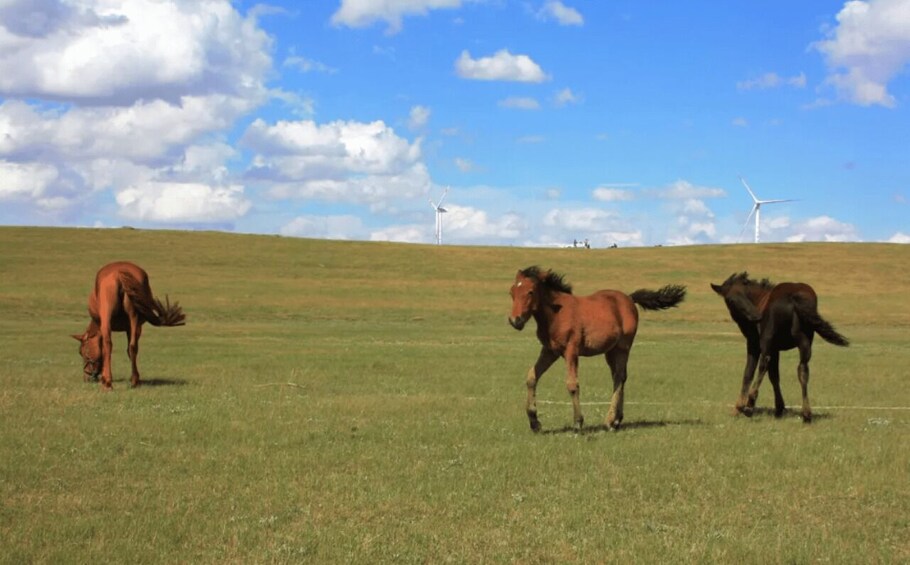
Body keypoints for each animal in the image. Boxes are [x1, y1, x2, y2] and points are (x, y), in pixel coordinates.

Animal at [72, 261, 185, 390]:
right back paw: (134, 381)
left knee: (108, 344)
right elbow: (130, 349)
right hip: (133, 317)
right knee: (132, 346)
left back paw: (107, 383)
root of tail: (119, 273)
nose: (87, 377)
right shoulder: (132, 328)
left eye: (82, 352)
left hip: (107, 317)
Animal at [509, 266, 686, 432]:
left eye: (530, 292)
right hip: (610, 351)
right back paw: (617, 420)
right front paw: (534, 422)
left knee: (619, 376)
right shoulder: (550, 351)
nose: (515, 321)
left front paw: (578, 422)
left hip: (623, 347)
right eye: (511, 292)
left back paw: (609, 421)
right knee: (619, 377)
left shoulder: (571, 350)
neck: (556, 314)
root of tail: (629, 298)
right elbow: (532, 377)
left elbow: (572, 384)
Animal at [710, 272, 849, 422]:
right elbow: (774, 375)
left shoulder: (754, 344)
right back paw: (806, 414)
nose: (756, 316)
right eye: (730, 300)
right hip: (805, 341)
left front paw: (738, 407)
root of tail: (793, 297)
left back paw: (750, 404)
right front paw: (779, 408)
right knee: (802, 369)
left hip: (767, 339)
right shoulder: (776, 349)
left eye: (745, 294)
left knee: (763, 364)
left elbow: (749, 372)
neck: (759, 299)